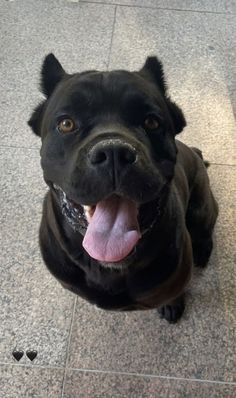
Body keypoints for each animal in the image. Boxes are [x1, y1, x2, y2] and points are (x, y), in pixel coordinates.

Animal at [27, 54, 218, 324]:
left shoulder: (176, 280)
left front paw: (172, 305)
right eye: (66, 124)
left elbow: (173, 294)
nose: (114, 152)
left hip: (202, 207)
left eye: (152, 122)